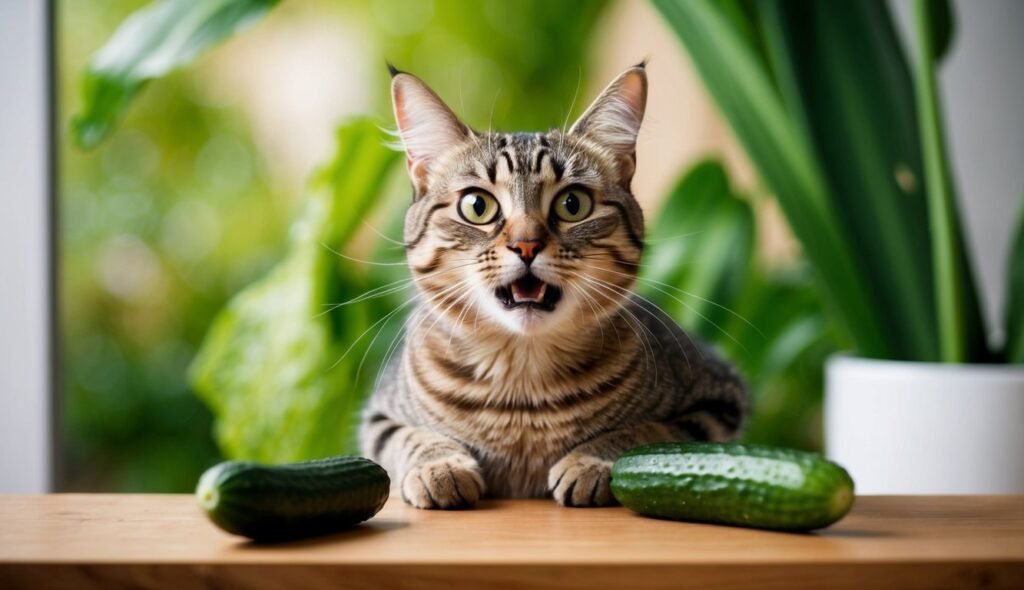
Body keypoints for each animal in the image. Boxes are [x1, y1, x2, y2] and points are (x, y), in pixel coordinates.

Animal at [360, 63, 745, 508]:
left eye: (572, 204)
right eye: (477, 205)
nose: (526, 244)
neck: (522, 394)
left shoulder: (720, 401)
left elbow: (650, 433)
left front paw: (591, 459)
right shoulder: (377, 417)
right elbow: (408, 437)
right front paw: (439, 465)